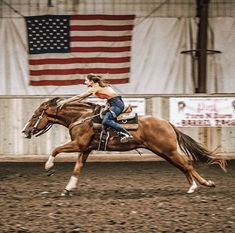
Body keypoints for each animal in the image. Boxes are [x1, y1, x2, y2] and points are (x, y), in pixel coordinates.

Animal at [21, 97, 226, 196]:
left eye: (35, 116)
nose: (25, 131)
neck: (82, 118)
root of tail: (167, 123)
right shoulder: (85, 148)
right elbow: (77, 168)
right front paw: (68, 189)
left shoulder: (78, 144)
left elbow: (55, 149)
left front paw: (49, 167)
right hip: (164, 152)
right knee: (183, 166)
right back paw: (198, 185)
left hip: (169, 150)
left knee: (187, 165)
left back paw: (199, 185)